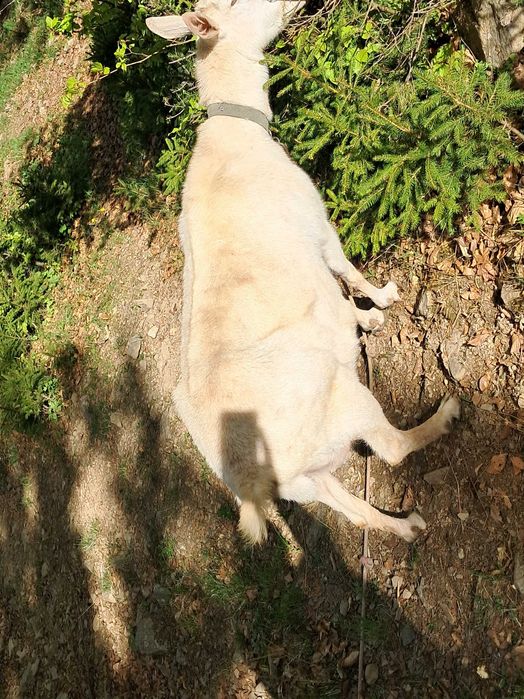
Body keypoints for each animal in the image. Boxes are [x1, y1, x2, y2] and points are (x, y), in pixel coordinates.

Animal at [146, 0, 460, 545]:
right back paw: (445, 416)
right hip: (342, 399)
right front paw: (382, 304)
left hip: (308, 479)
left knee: (353, 510)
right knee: (392, 449)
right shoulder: (315, 221)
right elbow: (344, 270)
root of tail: (254, 479)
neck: (237, 130)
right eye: (235, 3)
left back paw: (406, 527)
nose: (288, 3)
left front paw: (366, 319)